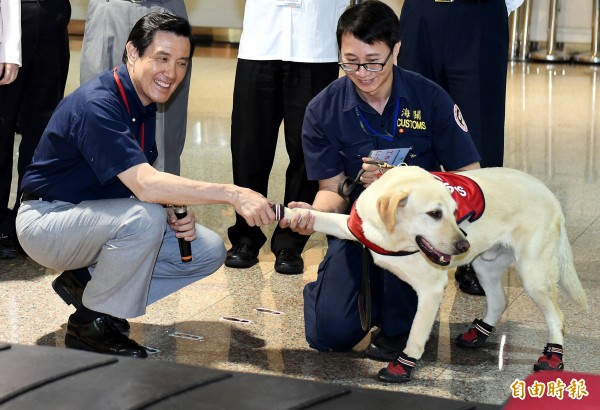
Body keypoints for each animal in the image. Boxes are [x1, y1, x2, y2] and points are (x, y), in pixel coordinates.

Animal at [284, 165, 588, 382]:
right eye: (434, 213)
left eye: (455, 212)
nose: (464, 245)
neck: (394, 237)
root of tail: (548, 192)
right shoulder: (350, 226)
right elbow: (316, 217)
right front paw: (292, 213)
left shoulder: (431, 289)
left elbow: (417, 332)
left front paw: (403, 366)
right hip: (485, 266)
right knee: (499, 300)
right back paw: (479, 333)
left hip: (532, 274)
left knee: (557, 317)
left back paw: (552, 357)